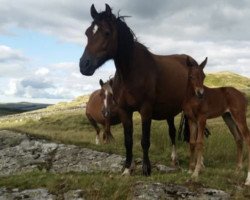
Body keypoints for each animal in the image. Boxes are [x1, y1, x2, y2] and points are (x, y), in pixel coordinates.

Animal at [79, 3, 196, 176]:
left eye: (106, 33)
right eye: (87, 33)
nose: (84, 65)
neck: (131, 72)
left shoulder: (145, 109)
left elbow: (145, 140)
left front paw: (146, 168)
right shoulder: (124, 111)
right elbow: (128, 140)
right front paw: (128, 168)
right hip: (169, 111)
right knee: (172, 132)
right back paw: (174, 159)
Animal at [182, 56, 250, 186]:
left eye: (203, 76)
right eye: (191, 76)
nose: (200, 93)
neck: (192, 99)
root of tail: (242, 94)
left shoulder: (202, 119)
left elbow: (199, 143)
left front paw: (196, 173)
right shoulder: (191, 120)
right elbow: (192, 142)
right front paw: (190, 169)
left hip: (239, 116)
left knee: (247, 138)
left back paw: (248, 179)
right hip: (228, 118)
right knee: (238, 139)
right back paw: (237, 170)